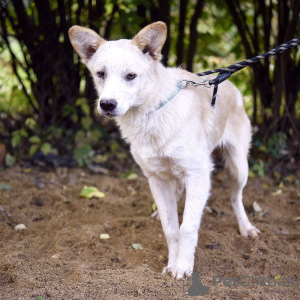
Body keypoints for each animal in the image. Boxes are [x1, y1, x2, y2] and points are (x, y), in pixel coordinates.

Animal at [69, 21, 258, 278]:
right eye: (100, 74)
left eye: (131, 76)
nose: (107, 105)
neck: (152, 114)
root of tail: (228, 82)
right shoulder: (156, 178)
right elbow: (170, 228)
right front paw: (172, 263)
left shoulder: (198, 175)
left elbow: (187, 226)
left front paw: (183, 267)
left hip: (239, 168)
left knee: (235, 197)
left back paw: (245, 227)